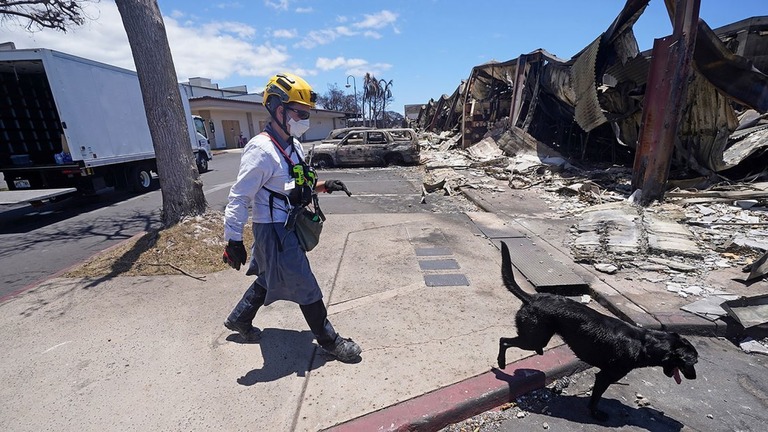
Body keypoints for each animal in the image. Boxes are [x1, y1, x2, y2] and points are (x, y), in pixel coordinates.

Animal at [498, 240, 696, 418]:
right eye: (693, 362)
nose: (694, 377)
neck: (644, 343)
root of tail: (531, 298)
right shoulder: (605, 377)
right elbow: (596, 398)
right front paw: (595, 413)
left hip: (537, 338)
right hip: (533, 339)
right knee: (504, 341)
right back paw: (501, 363)